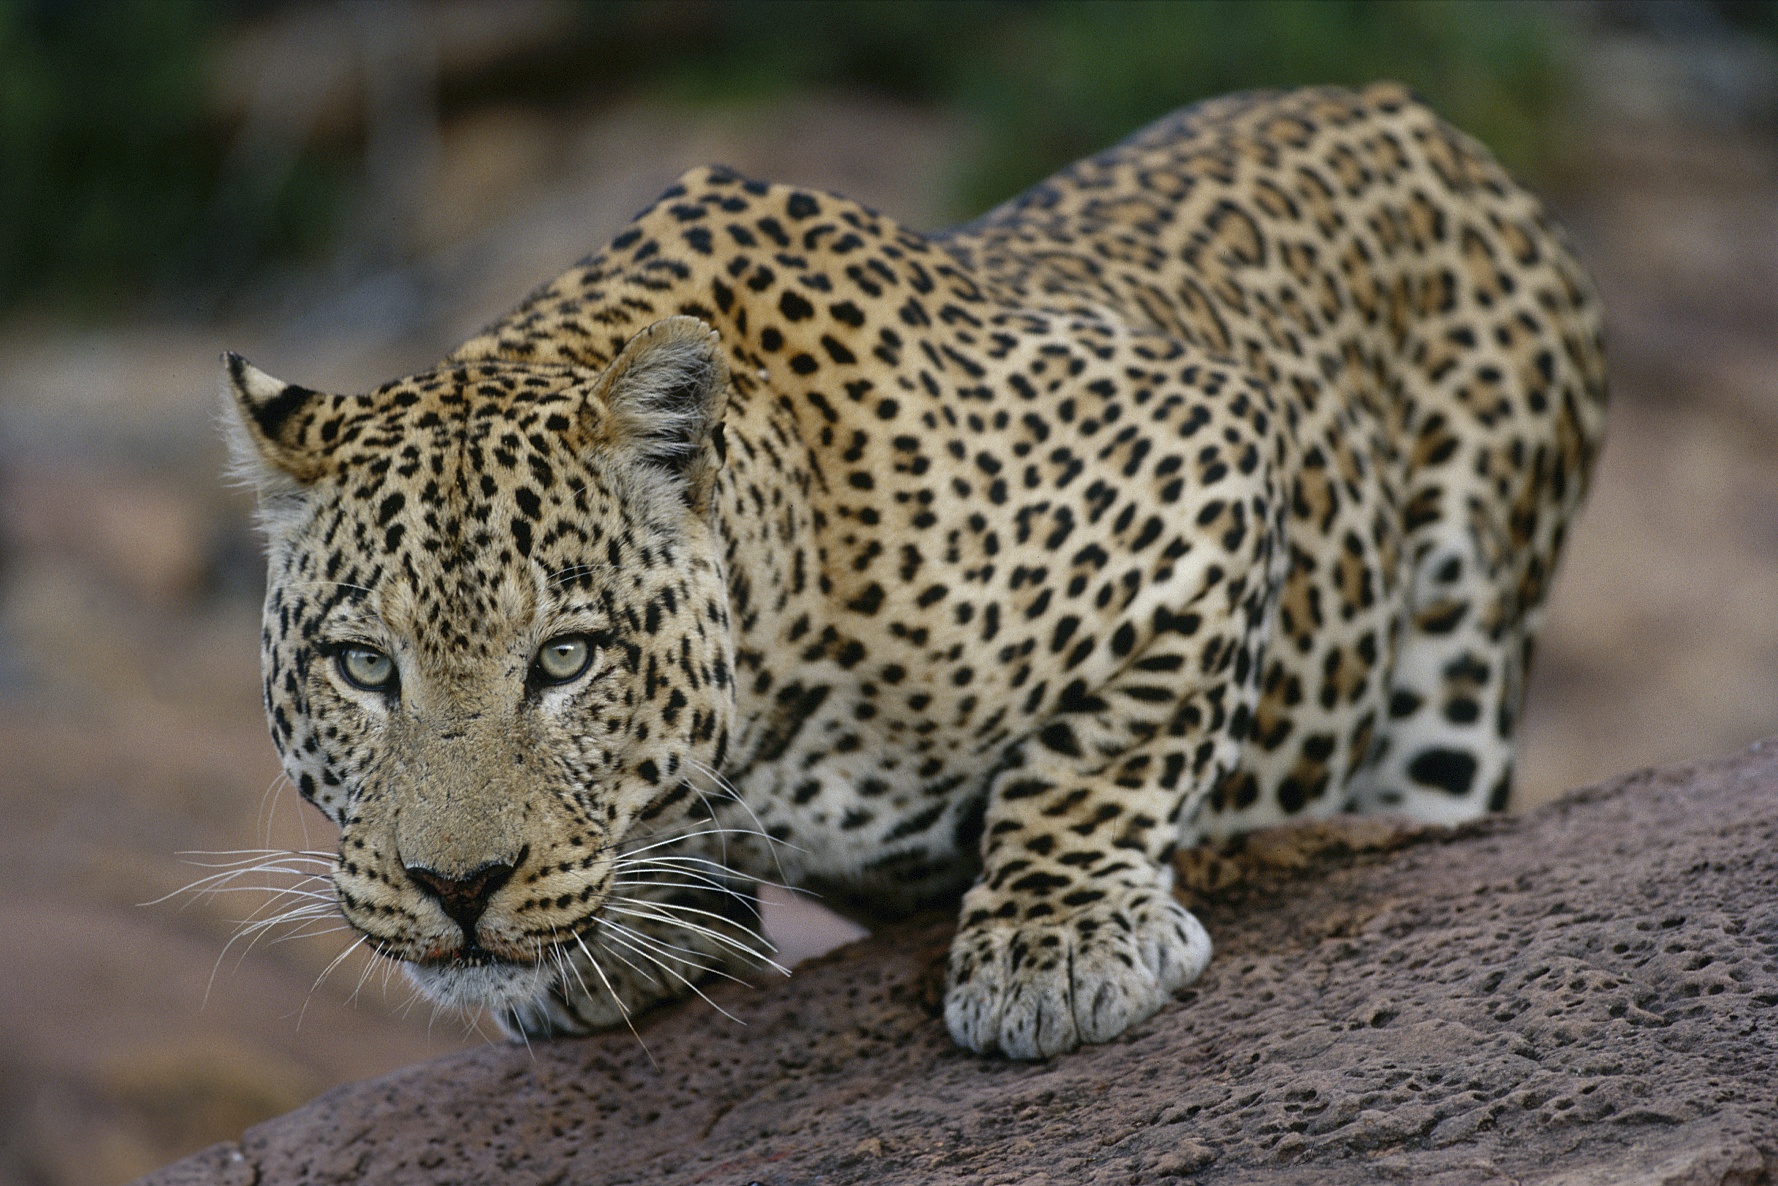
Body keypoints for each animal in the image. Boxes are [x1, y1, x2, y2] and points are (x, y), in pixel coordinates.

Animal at [225, 88, 1614, 1059]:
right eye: (364, 667)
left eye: (565, 658)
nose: (455, 889)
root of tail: (1401, 106)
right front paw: (634, 939)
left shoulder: (1203, 451)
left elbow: (1102, 754)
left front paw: (1056, 948)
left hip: (1461, 653)